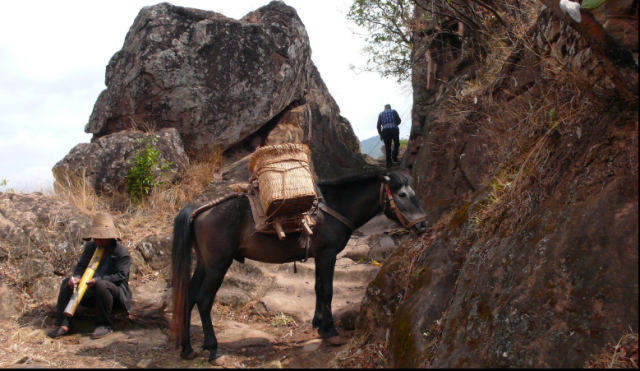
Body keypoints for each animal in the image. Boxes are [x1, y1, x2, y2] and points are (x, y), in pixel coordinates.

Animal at [172, 171, 428, 366]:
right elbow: (327, 291)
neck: (333, 208)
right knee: (204, 300)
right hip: (218, 264)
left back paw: (187, 348)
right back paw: (214, 350)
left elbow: (317, 288)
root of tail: (198, 210)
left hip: (204, 263)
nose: (424, 224)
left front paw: (318, 323)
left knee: (189, 297)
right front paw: (330, 331)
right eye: (402, 194)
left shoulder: (319, 256)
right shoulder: (328, 254)